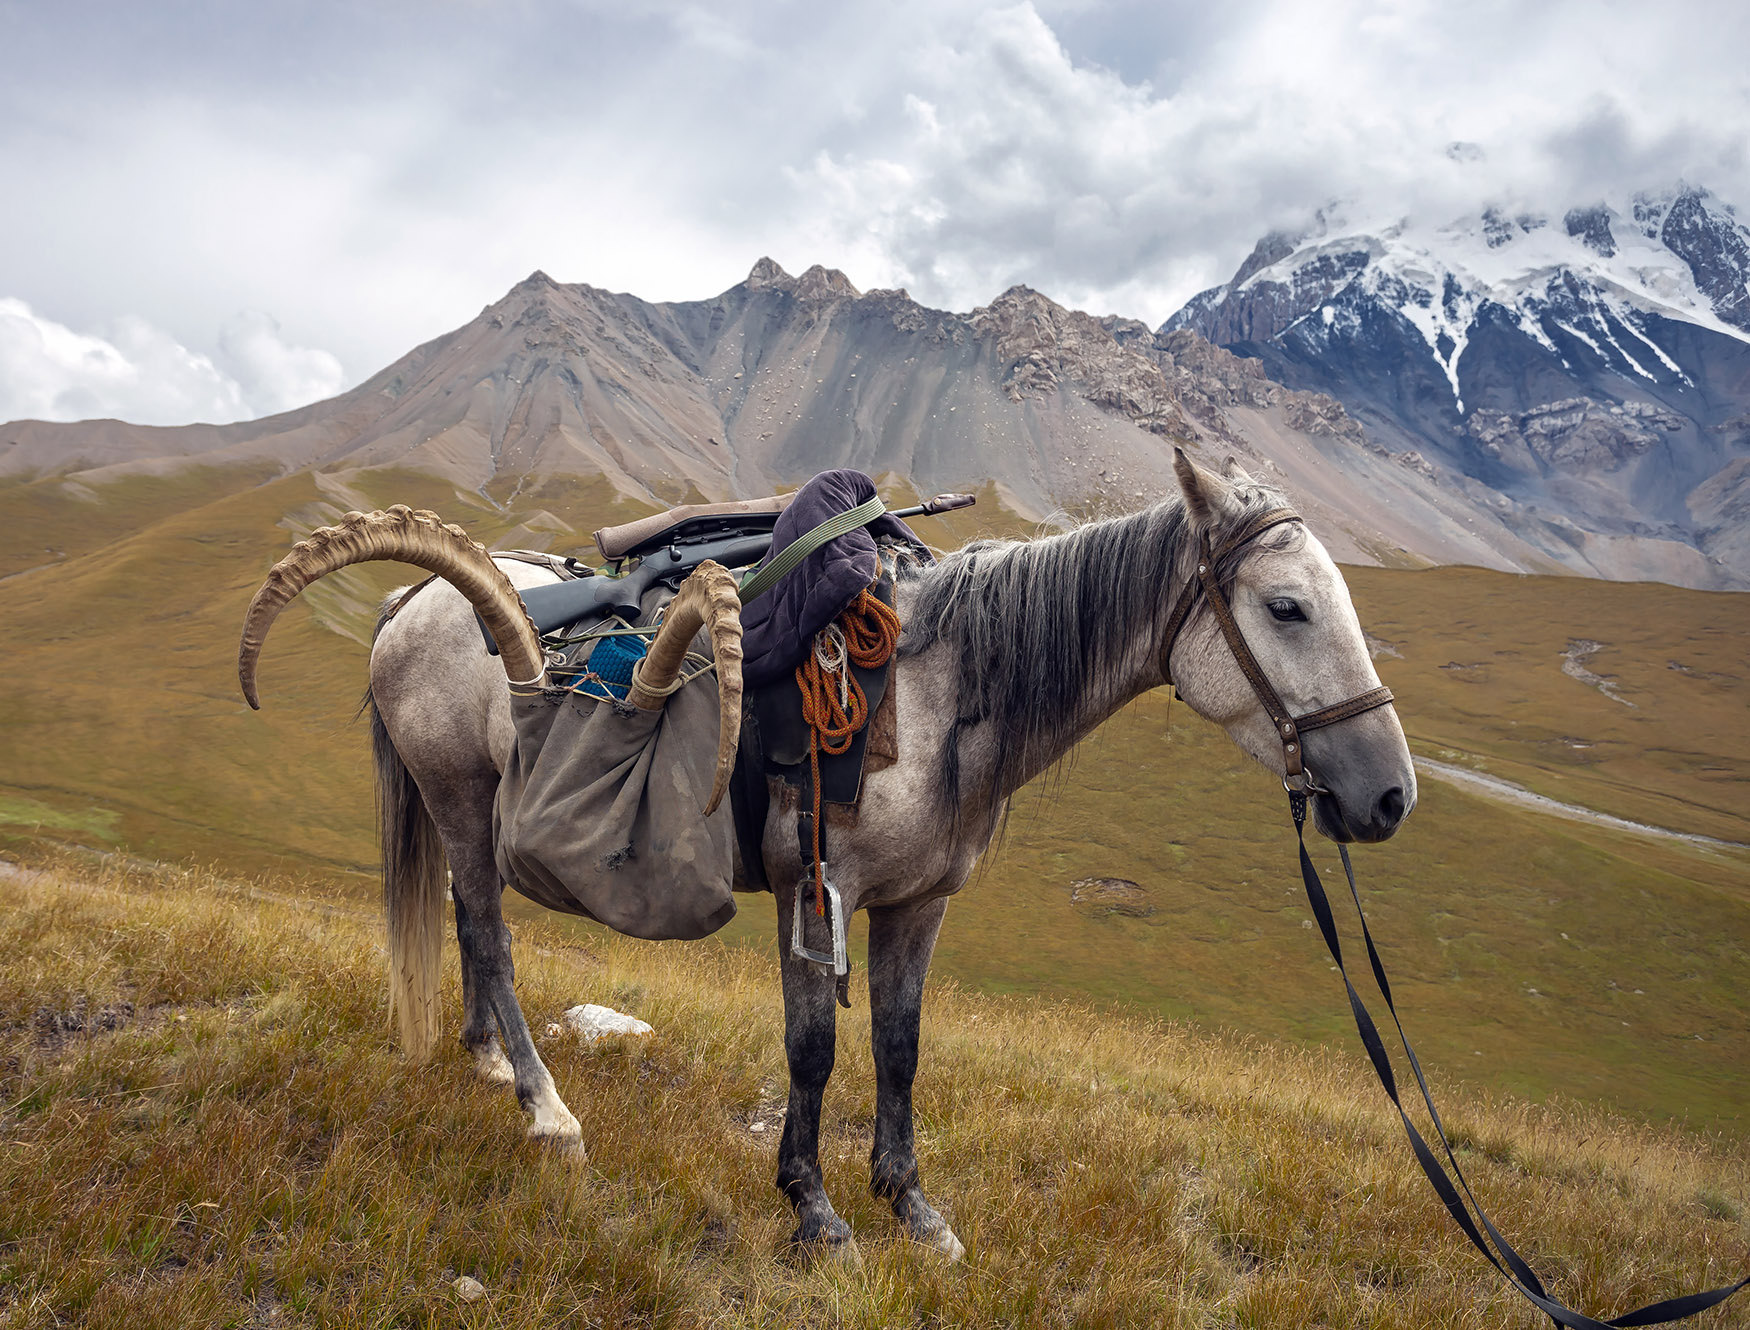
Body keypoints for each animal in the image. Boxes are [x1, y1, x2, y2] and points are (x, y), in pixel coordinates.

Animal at [235, 449, 1415, 1260]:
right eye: (1286, 606)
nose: (1387, 795)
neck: (938, 685)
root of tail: (411, 600)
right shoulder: (819, 888)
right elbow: (813, 1050)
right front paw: (814, 1208)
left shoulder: (919, 903)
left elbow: (898, 1046)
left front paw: (915, 1206)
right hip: (459, 793)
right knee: (486, 929)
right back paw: (545, 1107)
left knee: (469, 922)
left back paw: (485, 1059)